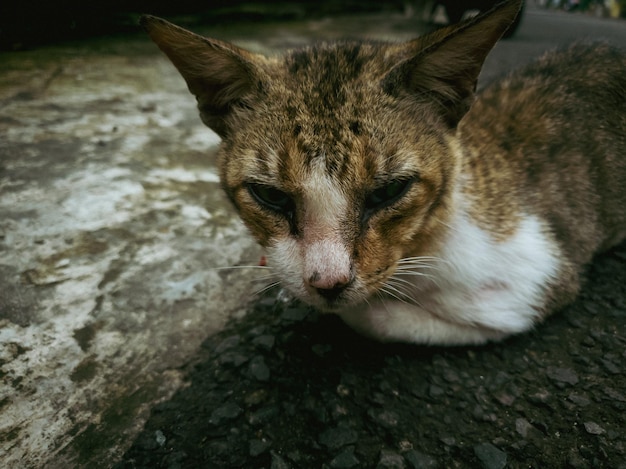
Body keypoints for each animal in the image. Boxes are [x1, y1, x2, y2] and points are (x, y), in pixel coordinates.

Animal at [141, 0, 624, 344]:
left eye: (389, 192)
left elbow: (373, 316)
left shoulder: (530, 285)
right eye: (271, 196)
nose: (328, 282)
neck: (425, 236)